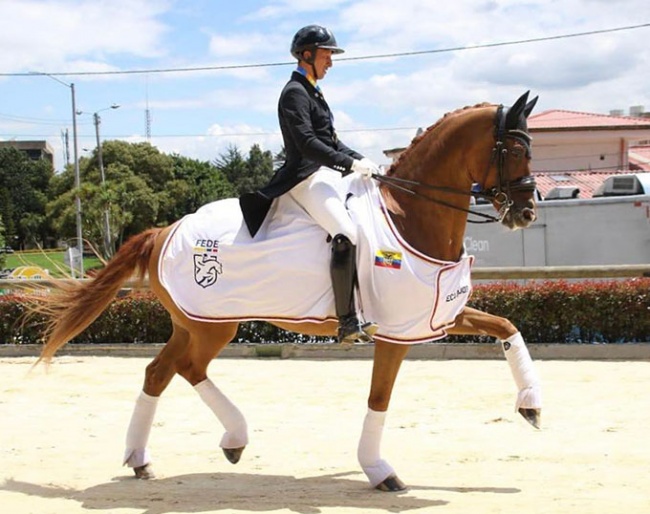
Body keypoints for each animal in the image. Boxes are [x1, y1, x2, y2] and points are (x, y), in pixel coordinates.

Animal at [34, 90, 540, 490]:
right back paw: (225, 440)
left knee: (162, 372)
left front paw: (531, 406)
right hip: (211, 323)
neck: (410, 214)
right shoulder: (397, 331)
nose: (527, 213)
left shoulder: (435, 315)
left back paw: (151, 458)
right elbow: (379, 398)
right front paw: (379, 470)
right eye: (515, 149)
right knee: (182, 369)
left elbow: (507, 326)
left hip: (195, 323)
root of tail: (165, 229)